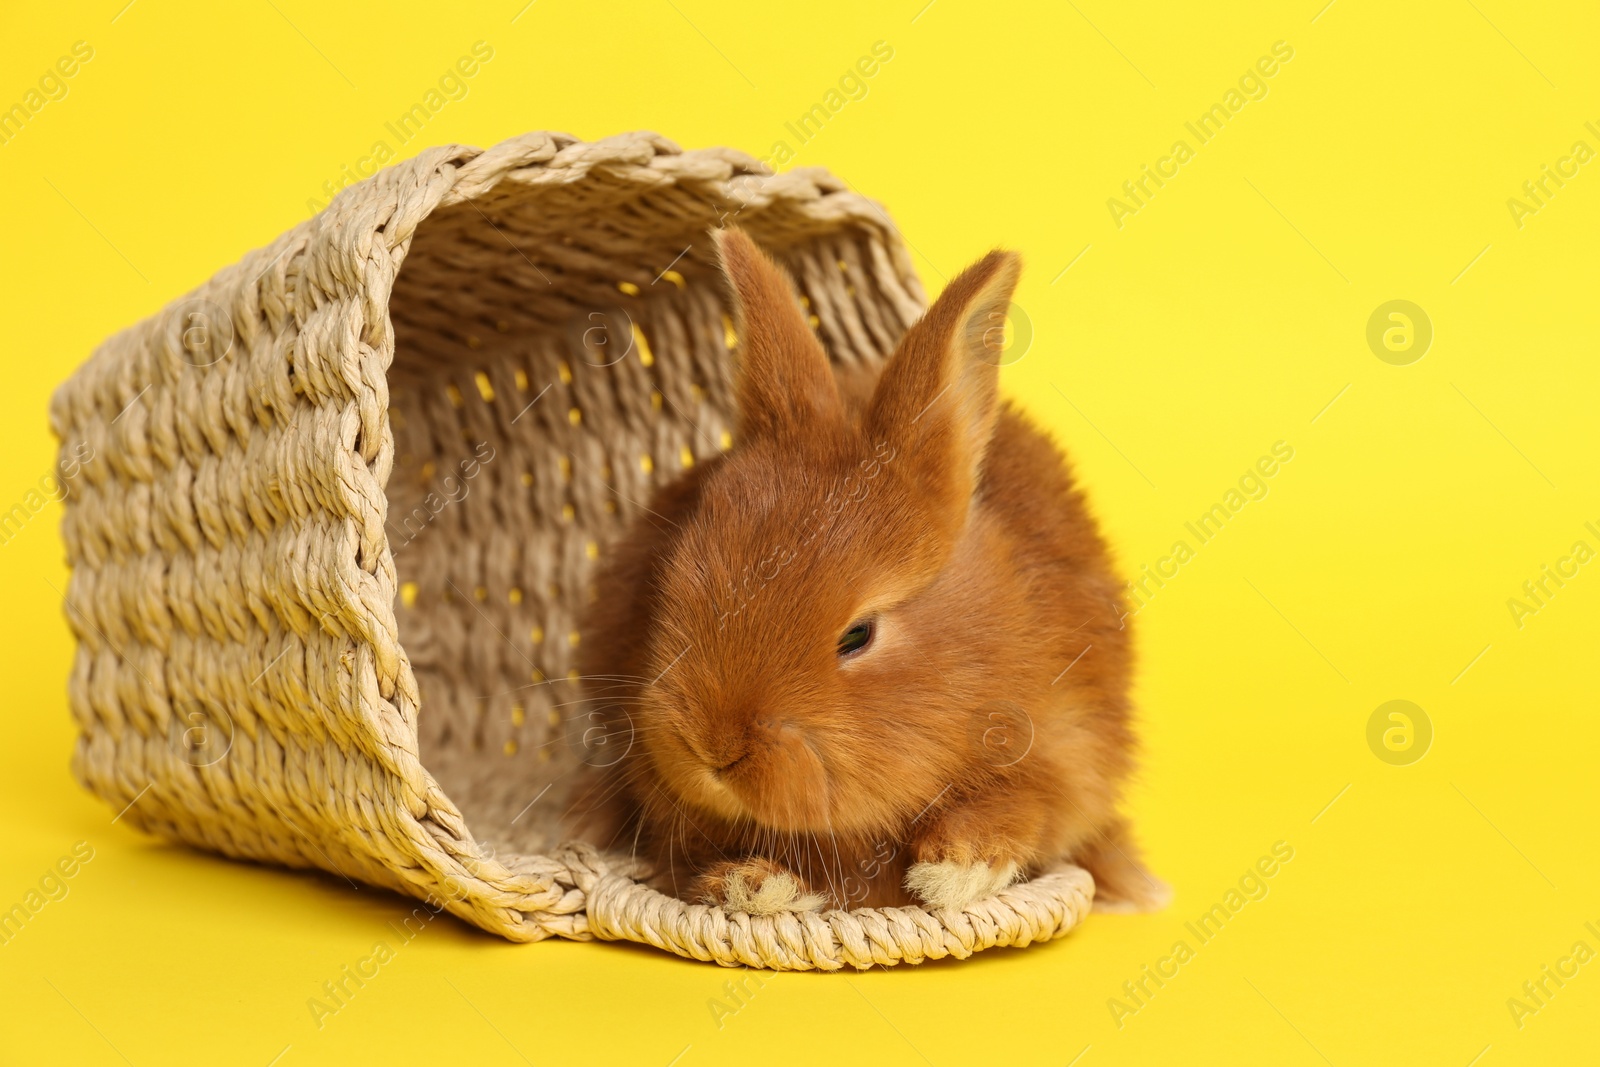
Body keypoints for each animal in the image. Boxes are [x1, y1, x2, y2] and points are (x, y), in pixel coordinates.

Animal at [569, 230, 1171, 915]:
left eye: (858, 635)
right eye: (672, 577)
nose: (712, 748)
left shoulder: (1067, 750)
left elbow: (1021, 809)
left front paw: (950, 872)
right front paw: (750, 884)